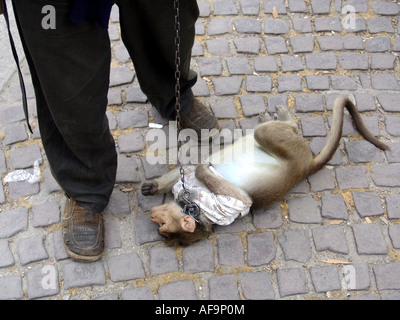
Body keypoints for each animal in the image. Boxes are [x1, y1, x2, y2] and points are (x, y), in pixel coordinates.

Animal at [141, 96, 390, 246]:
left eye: (162, 226)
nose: (152, 216)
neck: (193, 207)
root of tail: (305, 166)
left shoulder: (221, 209)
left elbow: (243, 199)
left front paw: (202, 169)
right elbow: (185, 172)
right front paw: (154, 187)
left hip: (290, 149)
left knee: (269, 132)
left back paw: (285, 120)